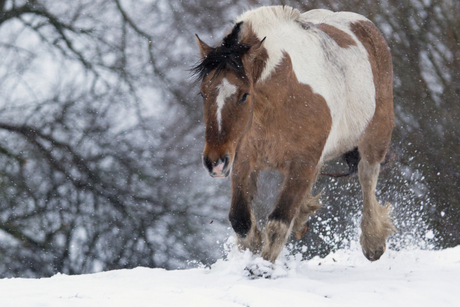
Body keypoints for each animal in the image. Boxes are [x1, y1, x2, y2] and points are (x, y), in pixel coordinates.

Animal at [192, 6, 394, 264]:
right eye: (202, 93)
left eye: (245, 95)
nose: (215, 162)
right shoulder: (243, 161)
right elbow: (241, 221)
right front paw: (251, 253)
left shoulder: (302, 164)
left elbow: (277, 224)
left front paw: (261, 267)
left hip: (375, 138)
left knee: (367, 175)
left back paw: (373, 242)